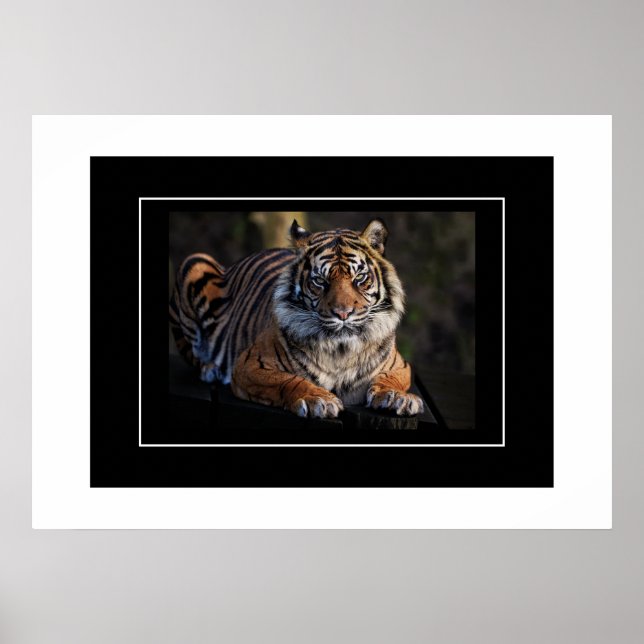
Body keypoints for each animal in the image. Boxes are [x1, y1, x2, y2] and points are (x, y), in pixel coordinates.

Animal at [169, 218, 424, 419]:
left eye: (359, 278)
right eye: (320, 281)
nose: (343, 313)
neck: (341, 350)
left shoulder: (399, 365)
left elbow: (390, 379)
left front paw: (397, 397)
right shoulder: (250, 365)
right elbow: (288, 380)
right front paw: (318, 399)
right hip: (195, 262)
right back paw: (211, 369)